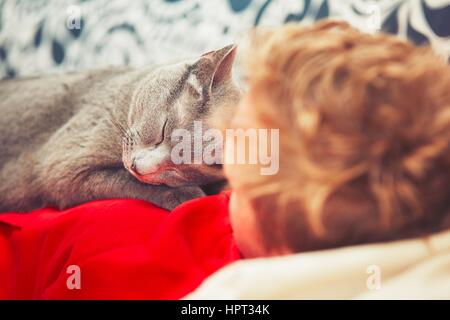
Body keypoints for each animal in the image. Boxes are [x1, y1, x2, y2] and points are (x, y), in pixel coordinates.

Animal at [0, 43, 241, 211]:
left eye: (183, 166)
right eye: (163, 131)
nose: (138, 167)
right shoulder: (64, 169)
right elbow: (127, 181)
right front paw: (188, 196)